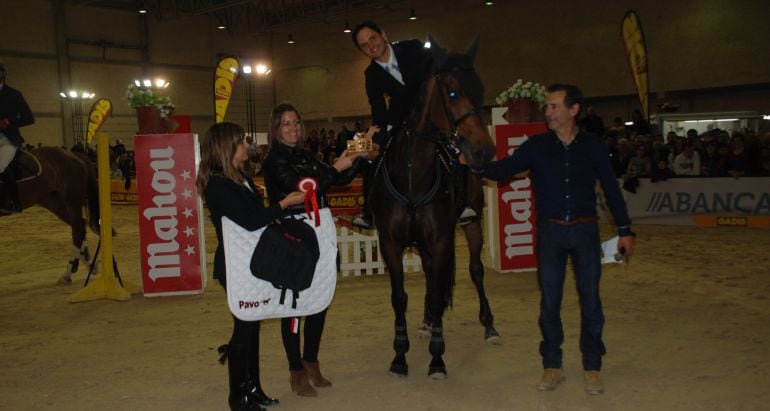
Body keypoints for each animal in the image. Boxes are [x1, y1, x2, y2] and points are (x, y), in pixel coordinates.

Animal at [0, 148, 100, 286]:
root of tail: (74, 154)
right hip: (52, 201)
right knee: (80, 225)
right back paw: (89, 264)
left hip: (71, 200)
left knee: (78, 229)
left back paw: (67, 274)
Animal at [372, 36, 498, 380]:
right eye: (452, 92)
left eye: (481, 89)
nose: (485, 151)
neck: (413, 174)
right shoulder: (391, 245)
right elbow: (399, 297)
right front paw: (399, 356)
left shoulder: (441, 240)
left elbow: (443, 290)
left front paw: (437, 359)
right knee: (430, 276)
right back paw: (427, 322)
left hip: (471, 225)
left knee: (476, 270)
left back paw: (489, 327)